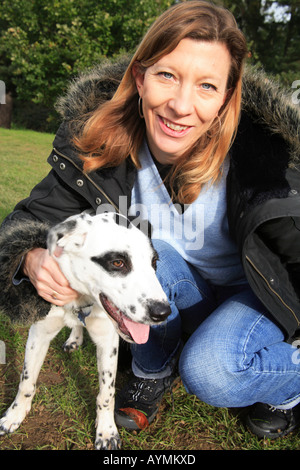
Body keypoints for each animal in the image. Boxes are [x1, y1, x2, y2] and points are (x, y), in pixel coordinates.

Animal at [0, 212, 171, 448]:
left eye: (154, 262)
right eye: (117, 262)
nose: (163, 313)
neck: (81, 300)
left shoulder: (108, 343)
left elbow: (106, 394)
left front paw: (106, 432)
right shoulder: (39, 333)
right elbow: (26, 381)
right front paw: (14, 415)